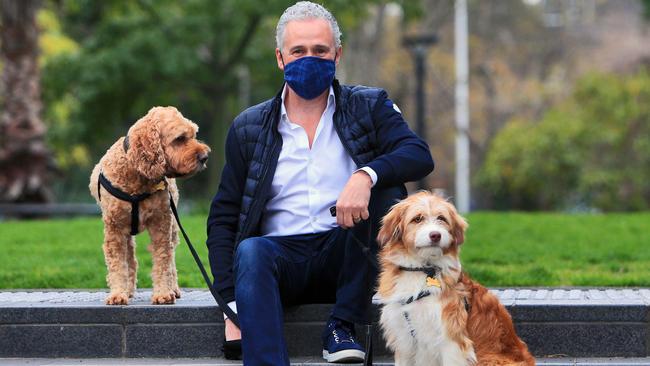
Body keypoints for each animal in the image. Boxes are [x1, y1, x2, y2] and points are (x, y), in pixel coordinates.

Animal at [88, 106, 209, 306]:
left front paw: (163, 294)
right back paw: (129, 289)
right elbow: (118, 264)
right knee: (130, 259)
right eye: (180, 138)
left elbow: (163, 260)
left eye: (193, 135)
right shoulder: (114, 230)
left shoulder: (161, 224)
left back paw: (174, 288)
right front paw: (118, 294)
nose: (205, 157)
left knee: (171, 258)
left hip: (173, 227)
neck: (136, 174)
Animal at [374, 193, 532, 364]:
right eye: (417, 219)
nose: (435, 235)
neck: (422, 269)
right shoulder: (404, 340)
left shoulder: (451, 339)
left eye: (441, 218)